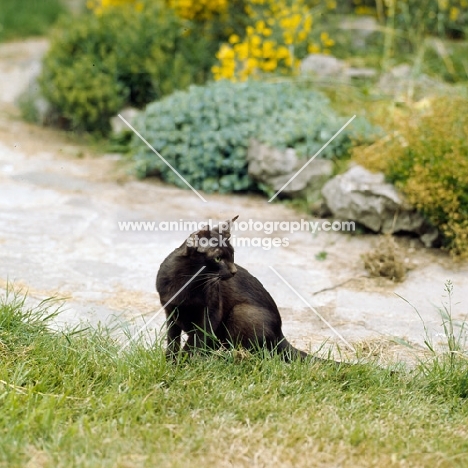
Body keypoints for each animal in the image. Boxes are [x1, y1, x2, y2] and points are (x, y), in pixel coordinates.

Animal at [156, 217, 310, 362]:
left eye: (232, 254)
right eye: (218, 258)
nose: (234, 271)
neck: (187, 282)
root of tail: (280, 334)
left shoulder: (210, 314)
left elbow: (194, 341)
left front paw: (184, 362)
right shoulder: (171, 313)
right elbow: (172, 341)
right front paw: (171, 361)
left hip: (240, 312)